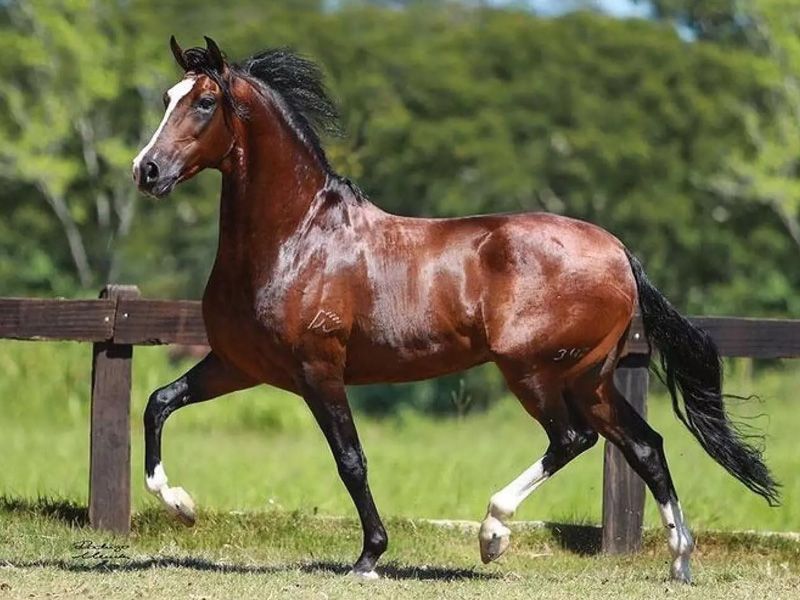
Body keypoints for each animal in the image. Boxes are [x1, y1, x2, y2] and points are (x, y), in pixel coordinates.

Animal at [134, 36, 780, 580]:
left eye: (205, 102)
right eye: (167, 98)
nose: (146, 170)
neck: (295, 240)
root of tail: (619, 251)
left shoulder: (319, 370)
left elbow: (351, 460)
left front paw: (369, 558)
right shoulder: (238, 365)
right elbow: (158, 403)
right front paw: (183, 506)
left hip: (533, 370)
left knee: (572, 439)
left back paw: (493, 534)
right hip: (589, 377)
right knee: (645, 445)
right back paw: (680, 562)